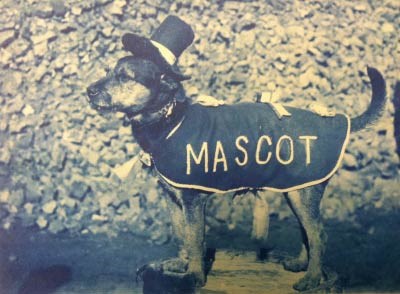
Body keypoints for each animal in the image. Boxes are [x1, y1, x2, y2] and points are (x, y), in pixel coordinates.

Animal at [86, 16, 386, 292]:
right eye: (109, 72)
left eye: (125, 77)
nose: (89, 90)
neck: (169, 119)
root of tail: (338, 120)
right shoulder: (174, 199)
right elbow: (181, 233)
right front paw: (181, 264)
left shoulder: (193, 201)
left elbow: (195, 239)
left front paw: (194, 275)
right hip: (296, 192)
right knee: (307, 232)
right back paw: (302, 265)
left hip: (303, 195)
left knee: (319, 235)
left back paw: (312, 278)